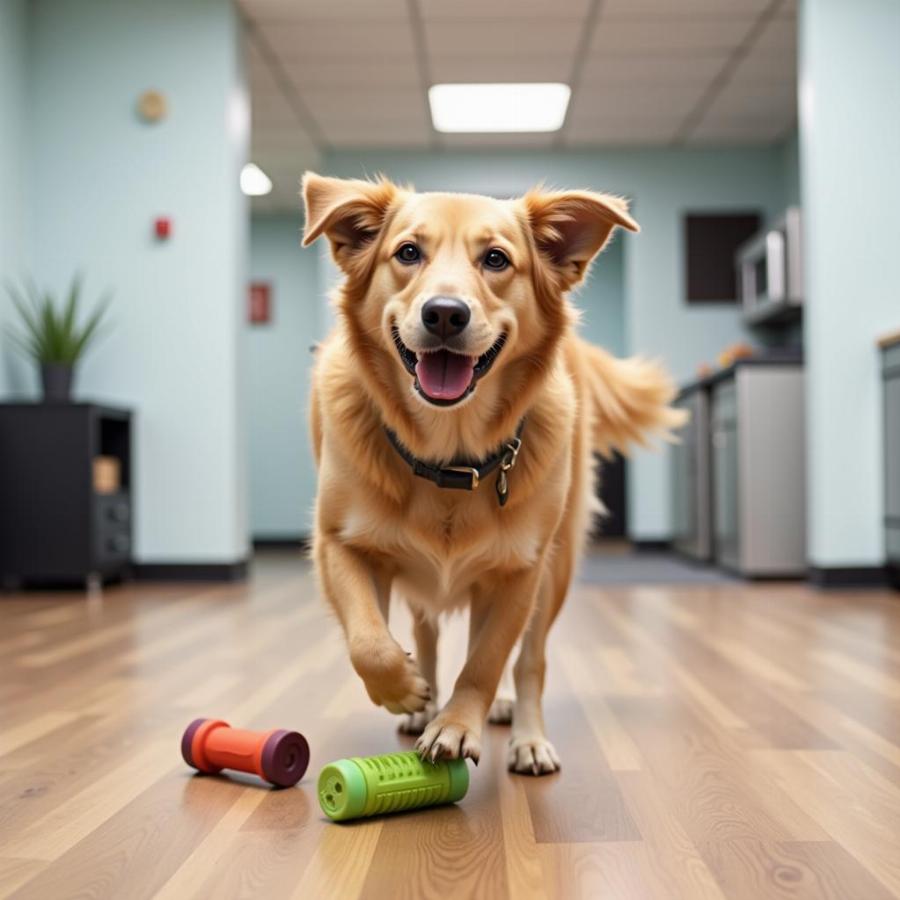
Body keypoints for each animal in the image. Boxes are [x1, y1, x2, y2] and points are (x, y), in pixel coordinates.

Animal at [302, 174, 684, 772]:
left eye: (497, 259)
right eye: (407, 253)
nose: (444, 313)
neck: (448, 456)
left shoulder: (520, 574)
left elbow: (486, 660)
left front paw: (458, 726)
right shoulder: (339, 545)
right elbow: (369, 641)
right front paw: (405, 691)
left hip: (555, 573)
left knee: (527, 661)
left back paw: (525, 734)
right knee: (427, 632)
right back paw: (424, 701)